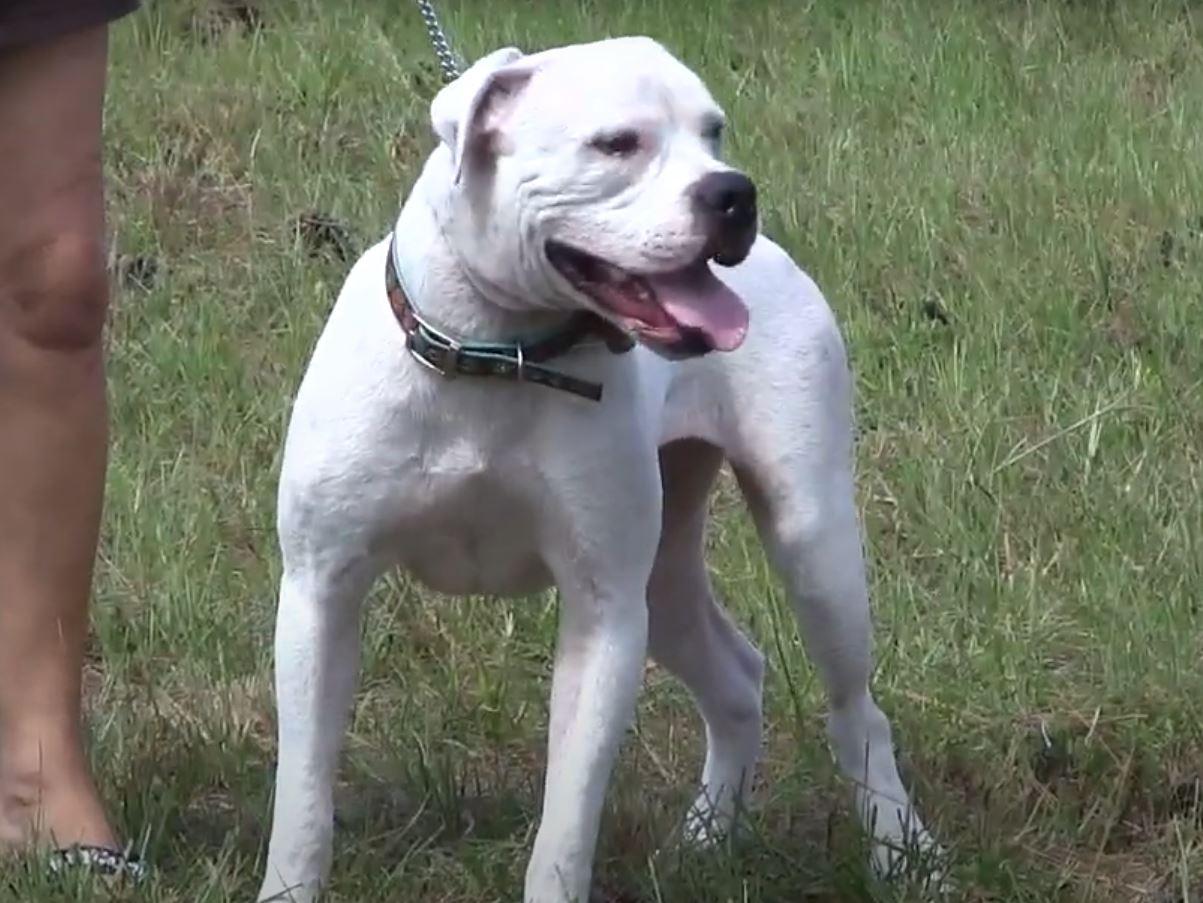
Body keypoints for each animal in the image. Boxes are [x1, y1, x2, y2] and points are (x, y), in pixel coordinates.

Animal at [258, 35, 938, 903]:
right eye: (616, 144)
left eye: (713, 130)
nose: (731, 192)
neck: (499, 351)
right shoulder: (321, 591)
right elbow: (303, 797)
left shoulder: (603, 613)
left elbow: (566, 823)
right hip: (665, 577)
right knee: (737, 677)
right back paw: (705, 837)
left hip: (810, 544)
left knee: (856, 712)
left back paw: (902, 853)